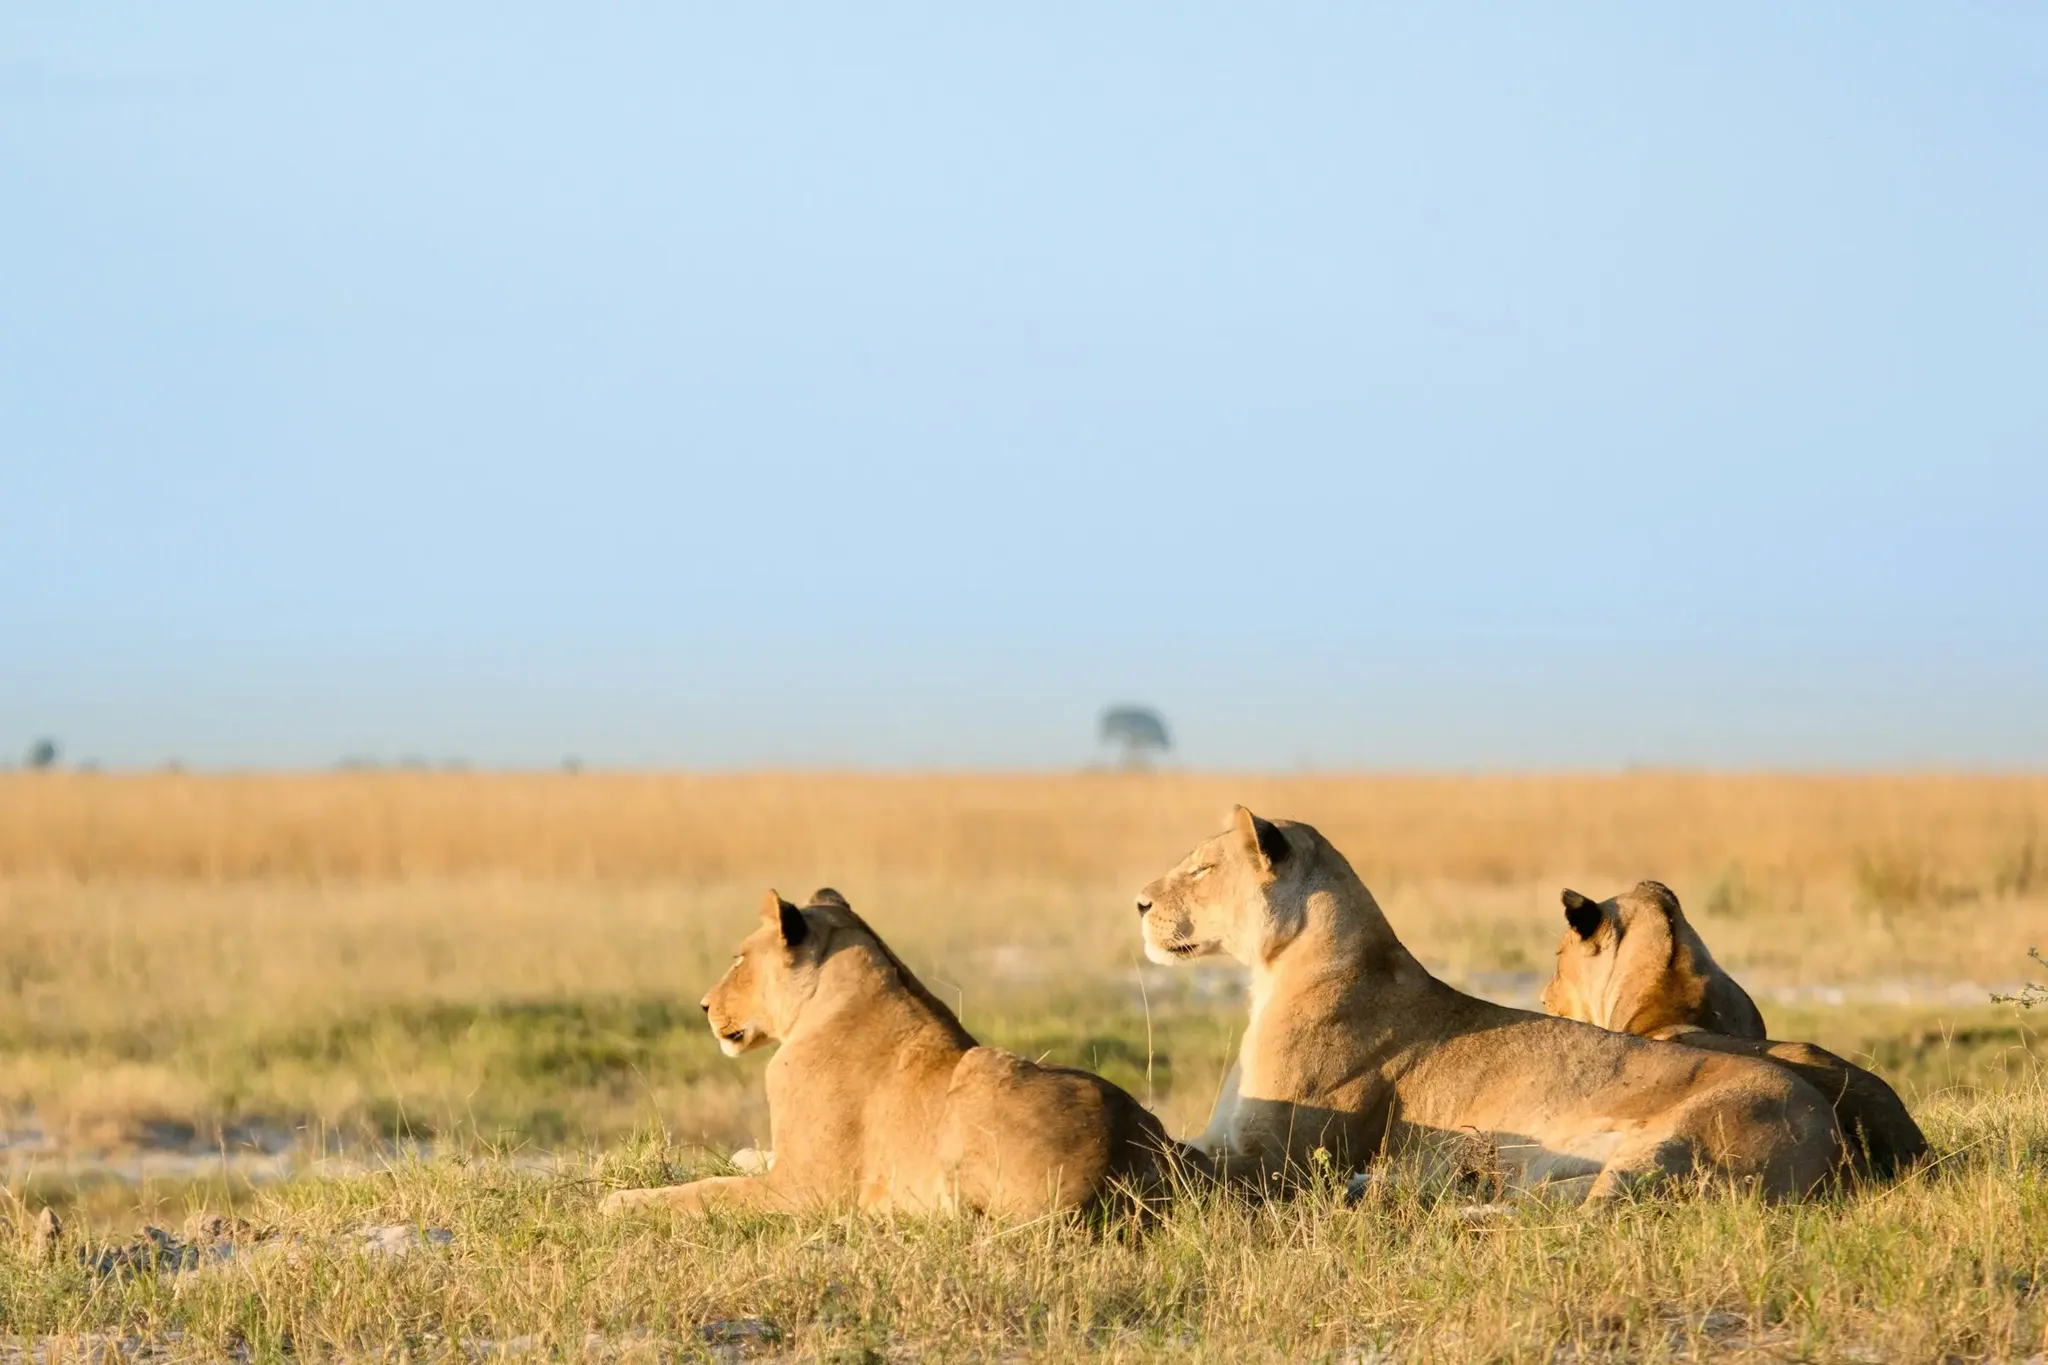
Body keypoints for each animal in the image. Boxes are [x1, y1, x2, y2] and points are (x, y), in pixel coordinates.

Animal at [602, 888, 1198, 1218]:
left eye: (738, 959)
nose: (704, 1005)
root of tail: (1129, 1155)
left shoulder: (804, 1190)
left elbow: (702, 1193)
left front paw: (620, 1202)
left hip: (981, 1075)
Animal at [1136, 808, 1844, 1201]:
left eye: (1201, 869)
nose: (1138, 903)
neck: (1274, 972)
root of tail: (1836, 1141)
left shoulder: (1278, 1162)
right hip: (1550, 1166)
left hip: (1668, 1150)